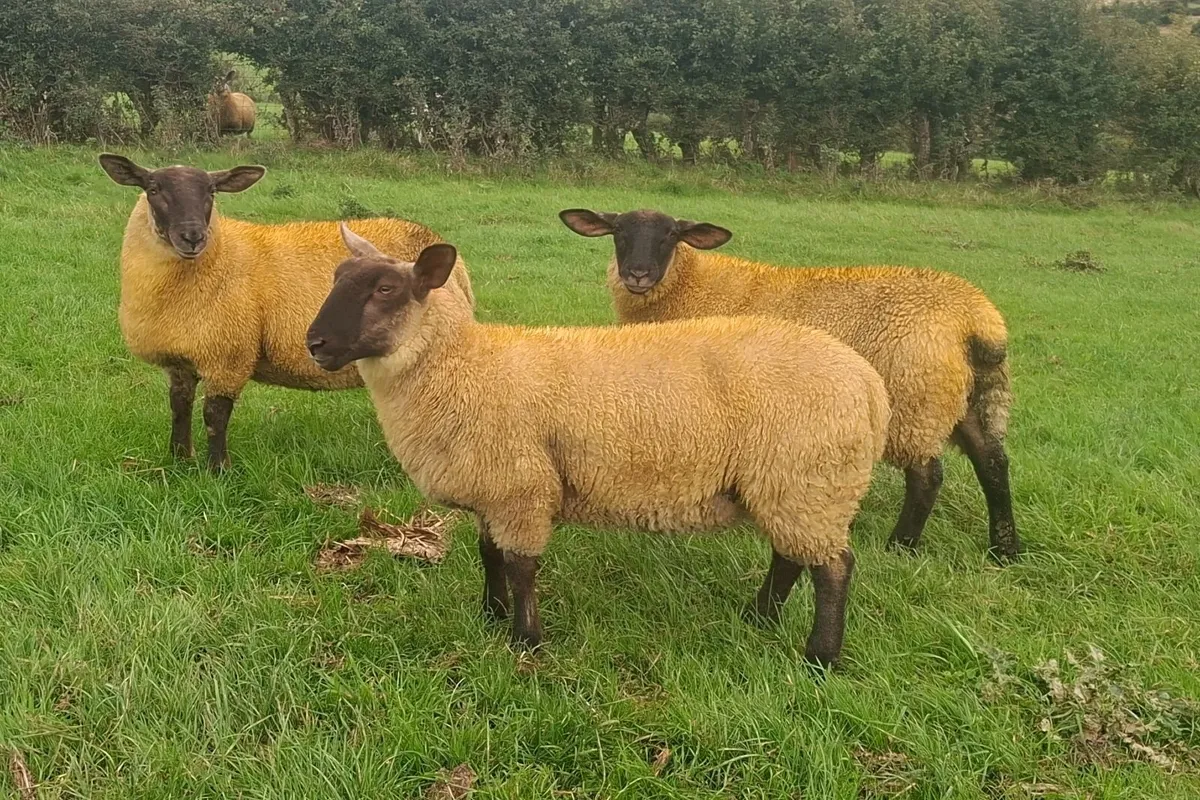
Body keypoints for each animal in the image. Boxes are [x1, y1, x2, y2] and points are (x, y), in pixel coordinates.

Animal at [97, 153, 475, 471]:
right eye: (153, 189)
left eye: (211, 191)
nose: (192, 236)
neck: (217, 257)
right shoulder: (179, 361)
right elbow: (179, 408)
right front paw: (178, 459)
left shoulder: (228, 356)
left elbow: (214, 416)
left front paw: (218, 471)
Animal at [305, 224, 890, 666]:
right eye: (336, 279)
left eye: (385, 290)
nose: (315, 343)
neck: (464, 366)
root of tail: (870, 385)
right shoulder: (493, 487)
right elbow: (489, 555)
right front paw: (490, 617)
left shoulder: (520, 486)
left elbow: (520, 567)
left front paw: (525, 642)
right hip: (792, 483)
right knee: (791, 555)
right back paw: (759, 616)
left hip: (809, 477)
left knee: (833, 568)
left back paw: (820, 657)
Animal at [559, 208, 1018, 562]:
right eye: (618, 231)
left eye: (671, 235)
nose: (637, 274)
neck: (692, 285)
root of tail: (976, 317)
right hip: (963, 396)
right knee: (992, 462)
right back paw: (1005, 550)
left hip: (916, 398)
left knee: (928, 476)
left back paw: (900, 547)